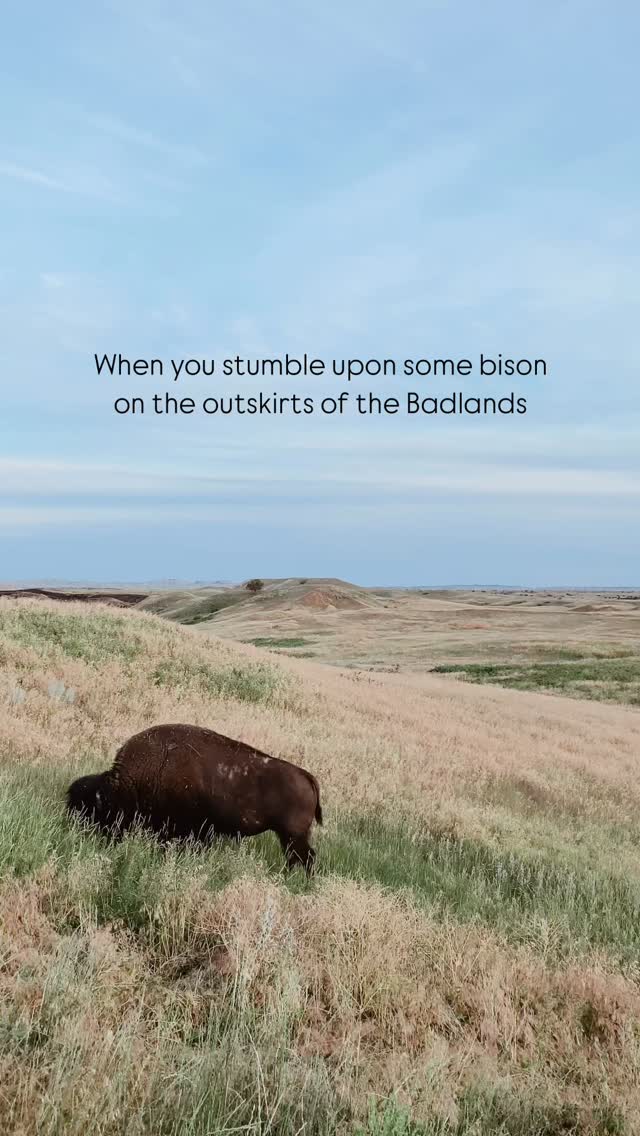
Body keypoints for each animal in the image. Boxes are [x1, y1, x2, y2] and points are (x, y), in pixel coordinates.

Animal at [66, 723, 323, 873]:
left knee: (306, 857)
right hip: (287, 836)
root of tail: (306, 775)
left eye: (91, 810)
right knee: (296, 858)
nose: (76, 834)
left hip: (293, 836)